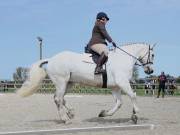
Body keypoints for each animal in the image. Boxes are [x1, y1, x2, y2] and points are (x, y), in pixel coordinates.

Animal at [17, 42, 155, 124]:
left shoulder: (115, 87)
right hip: (61, 82)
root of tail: (51, 59)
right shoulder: (122, 83)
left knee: (61, 98)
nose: (150, 70)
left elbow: (119, 103)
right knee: (58, 99)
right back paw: (65, 119)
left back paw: (70, 113)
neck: (123, 58)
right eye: (153, 55)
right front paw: (135, 115)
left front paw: (104, 113)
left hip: (69, 83)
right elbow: (133, 95)